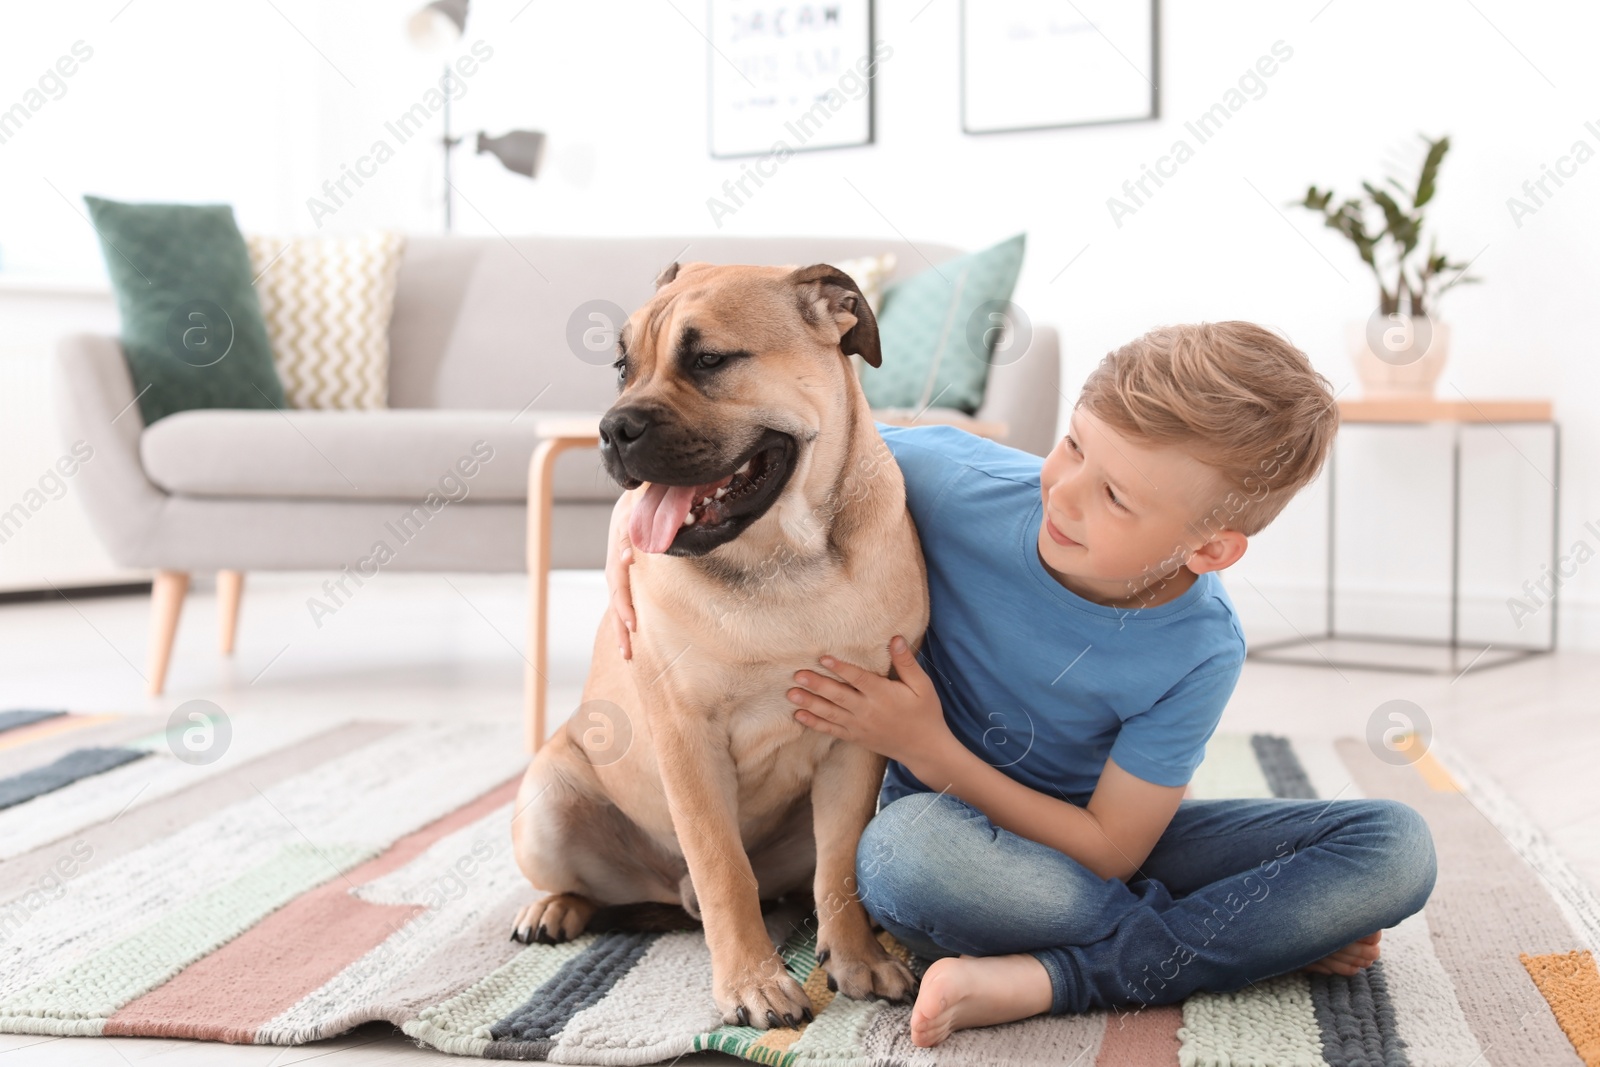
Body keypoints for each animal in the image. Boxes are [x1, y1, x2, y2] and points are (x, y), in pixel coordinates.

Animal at [505, 259, 934, 1023]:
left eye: (708, 360)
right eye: (623, 366)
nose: (612, 428)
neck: (784, 559)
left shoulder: (857, 737)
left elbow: (840, 865)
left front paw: (858, 959)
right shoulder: (688, 736)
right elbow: (723, 868)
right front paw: (753, 984)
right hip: (548, 803)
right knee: (598, 885)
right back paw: (554, 908)